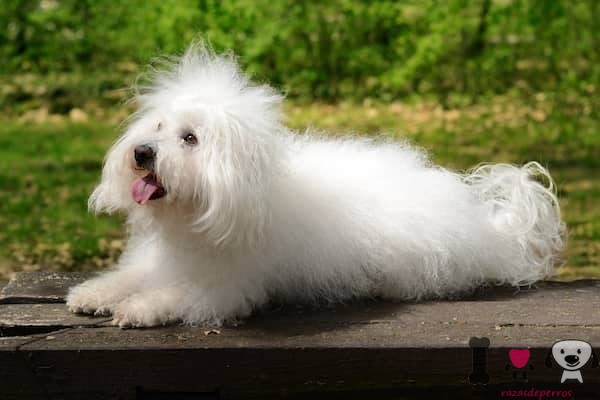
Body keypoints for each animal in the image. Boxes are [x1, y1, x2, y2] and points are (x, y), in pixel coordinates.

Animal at [67, 45, 568, 326]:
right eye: (156, 126)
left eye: (190, 138)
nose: (142, 153)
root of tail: (487, 227)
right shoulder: (159, 261)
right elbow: (129, 276)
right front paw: (92, 295)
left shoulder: (226, 286)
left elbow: (175, 296)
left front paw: (136, 309)